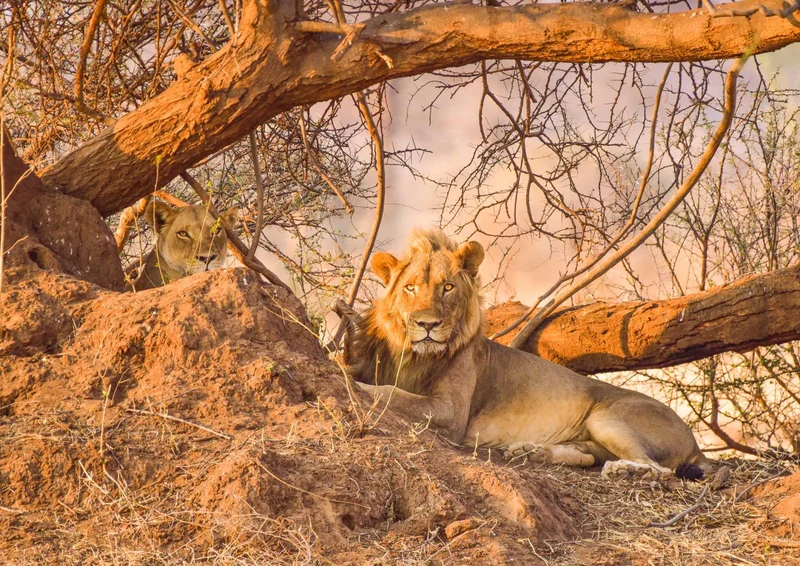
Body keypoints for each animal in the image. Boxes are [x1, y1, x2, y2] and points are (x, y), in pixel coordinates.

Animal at [344, 229, 711, 480]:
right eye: (409, 288)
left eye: (447, 287)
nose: (428, 324)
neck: (417, 356)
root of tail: (695, 441)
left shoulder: (450, 413)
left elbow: (391, 393)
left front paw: (354, 386)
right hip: (592, 432)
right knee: (588, 455)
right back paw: (532, 451)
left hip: (607, 417)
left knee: (658, 469)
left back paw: (623, 471)